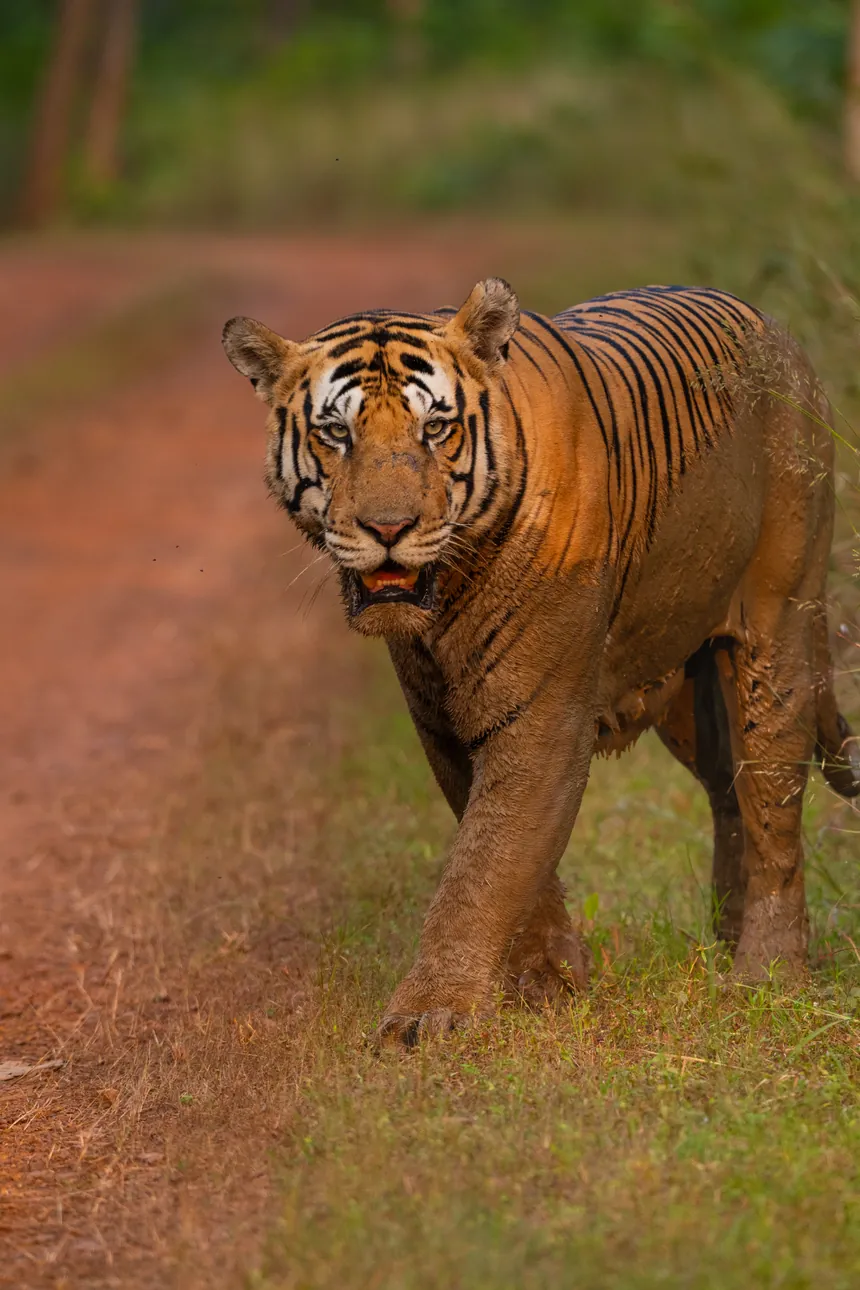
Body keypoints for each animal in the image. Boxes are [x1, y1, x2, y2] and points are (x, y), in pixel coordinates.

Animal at [223, 277, 860, 1045]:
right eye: (336, 433)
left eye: (435, 429)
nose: (388, 528)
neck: (449, 593)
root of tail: (774, 328)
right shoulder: (440, 718)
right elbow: (508, 850)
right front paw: (548, 987)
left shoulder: (540, 714)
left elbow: (488, 859)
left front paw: (430, 1013)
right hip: (689, 694)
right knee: (728, 792)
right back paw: (726, 938)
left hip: (778, 626)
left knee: (773, 805)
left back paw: (765, 975)